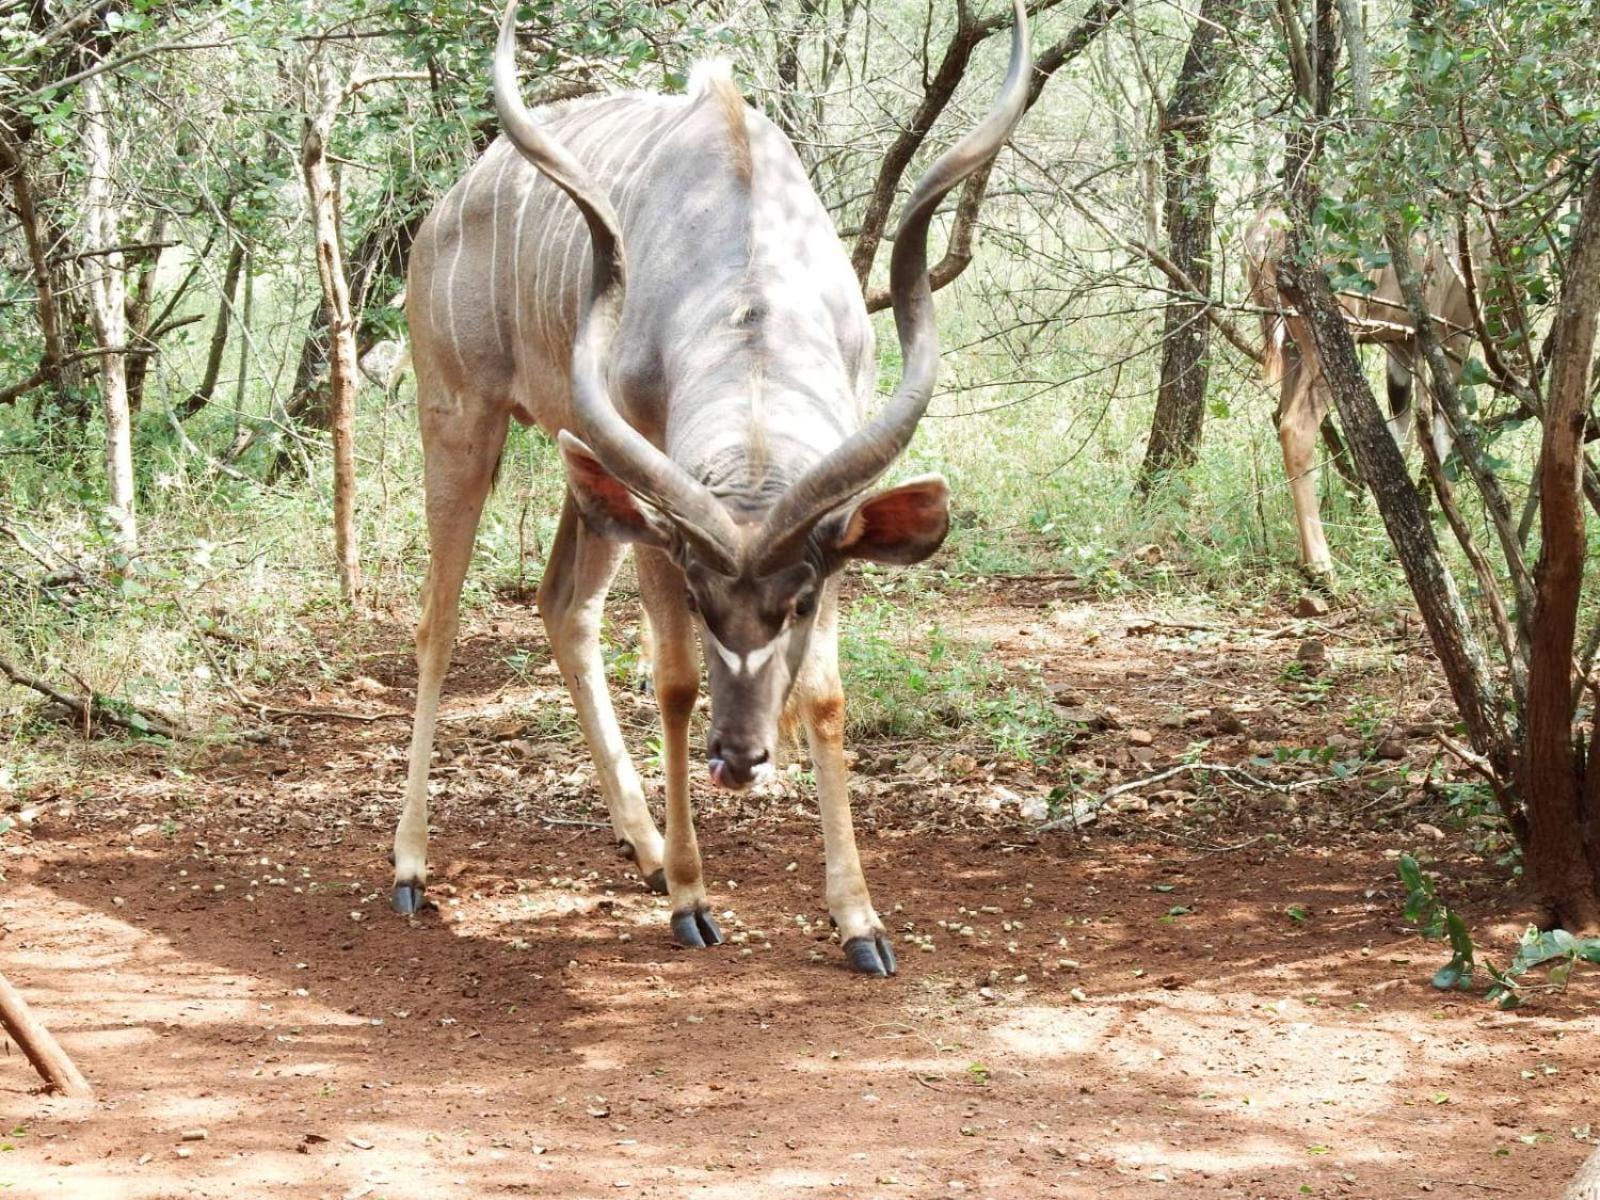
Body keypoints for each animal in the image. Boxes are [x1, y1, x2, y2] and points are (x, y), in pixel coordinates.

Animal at [393, 4, 1030, 979]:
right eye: (700, 598)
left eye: (796, 603)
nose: (738, 760)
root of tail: (453, 201)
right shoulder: (659, 514)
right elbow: (677, 681)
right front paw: (694, 899)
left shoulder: (823, 537)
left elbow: (825, 698)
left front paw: (859, 921)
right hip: (461, 417)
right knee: (439, 621)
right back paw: (413, 867)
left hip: (588, 484)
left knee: (562, 603)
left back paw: (647, 847)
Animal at [1248, 206, 1472, 579]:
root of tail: (1266, 232)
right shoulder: (1453, 333)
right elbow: (1445, 431)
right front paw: (1446, 536)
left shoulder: (1401, 341)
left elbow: (1400, 431)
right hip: (1329, 340)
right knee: (1295, 427)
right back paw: (1320, 564)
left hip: (1294, 347)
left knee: (1280, 415)